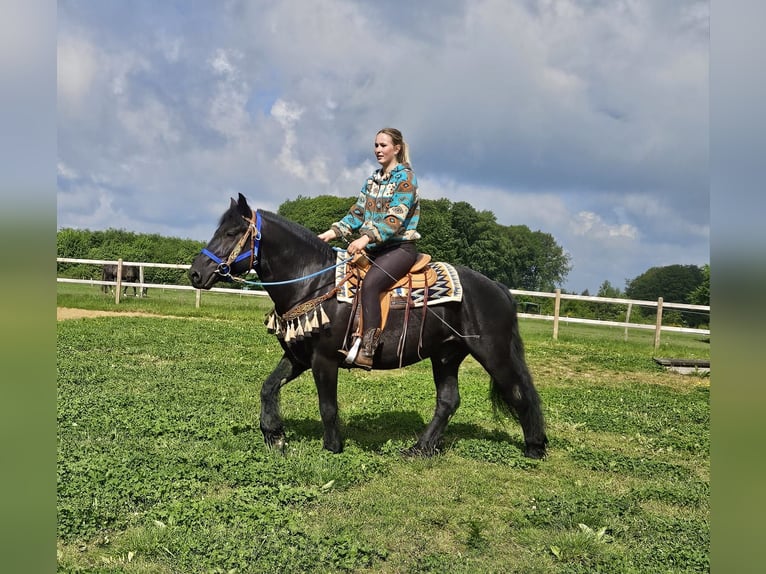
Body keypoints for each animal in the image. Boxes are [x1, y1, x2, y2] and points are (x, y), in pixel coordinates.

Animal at [188, 194, 547, 458]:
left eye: (231, 233)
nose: (195, 273)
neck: (314, 283)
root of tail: (499, 289)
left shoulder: (324, 359)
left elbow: (328, 407)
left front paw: (332, 447)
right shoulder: (298, 357)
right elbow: (268, 387)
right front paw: (274, 435)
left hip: (493, 353)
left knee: (519, 393)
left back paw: (535, 448)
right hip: (446, 355)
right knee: (448, 401)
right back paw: (420, 448)